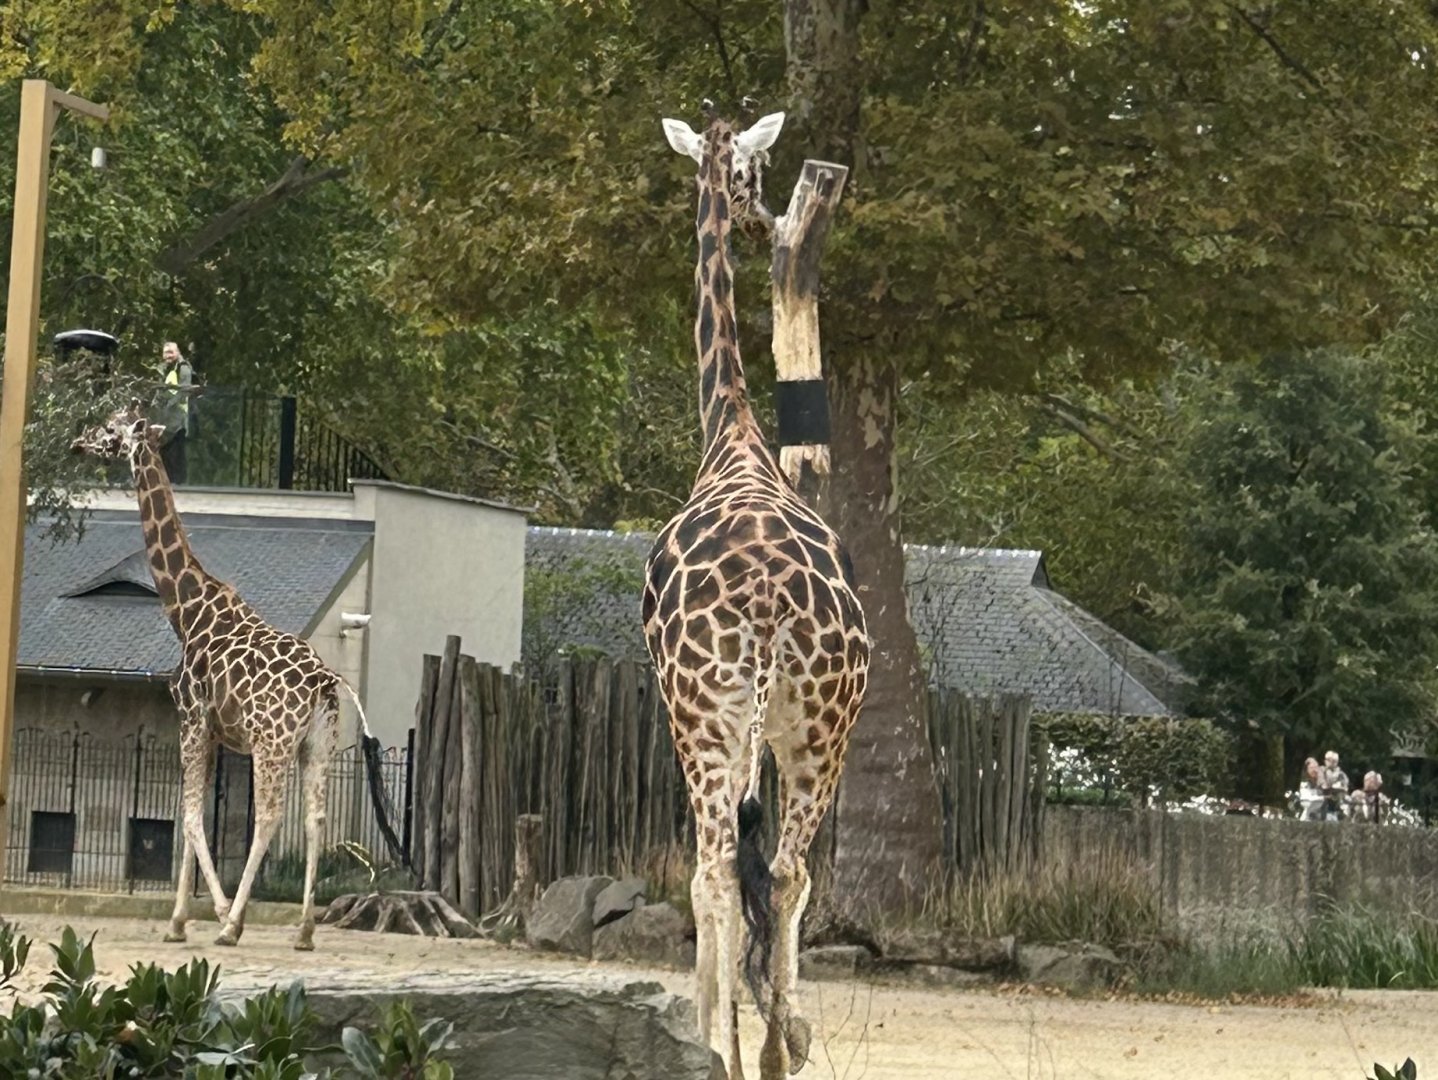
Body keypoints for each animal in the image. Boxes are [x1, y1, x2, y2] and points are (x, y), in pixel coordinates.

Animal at [72, 399, 368, 951]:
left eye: (110, 428)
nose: (80, 442)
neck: (187, 611)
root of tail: (323, 682)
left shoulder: (191, 720)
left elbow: (188, 817)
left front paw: (212, 912)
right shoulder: (211, 732)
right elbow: (191, 817)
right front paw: (178, 922)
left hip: (273, 744)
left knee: (270, 817)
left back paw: (233, 927)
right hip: (319, 744)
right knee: (315, 820)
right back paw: (304, 930)